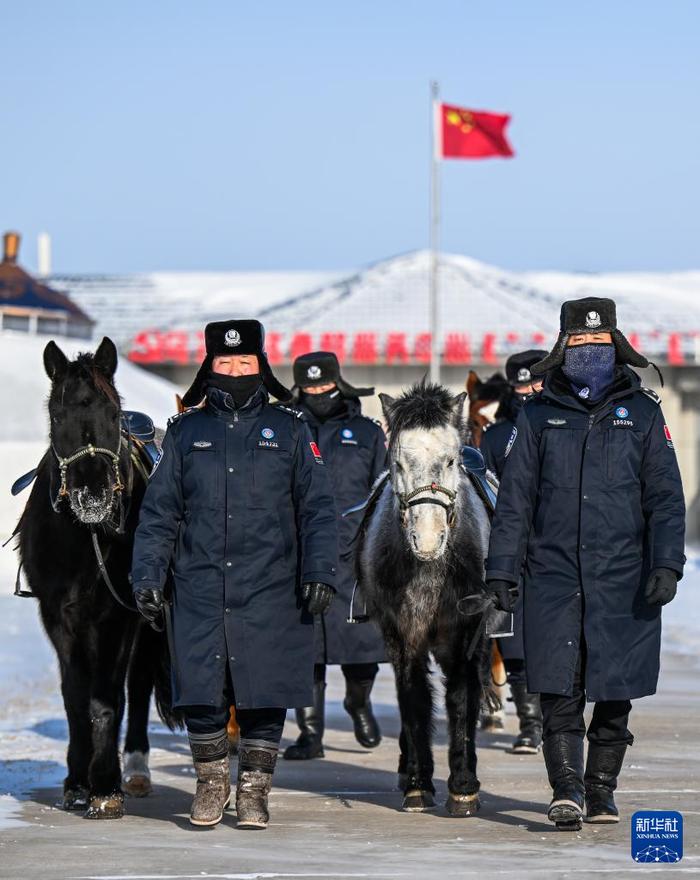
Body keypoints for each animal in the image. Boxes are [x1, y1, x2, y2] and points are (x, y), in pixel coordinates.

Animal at [15, 336, 178, 820]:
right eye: (57, 415)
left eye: (112, 413)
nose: (93, 494)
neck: (83, 538)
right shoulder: (57, 616)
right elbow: (74, 697)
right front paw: (76, 781)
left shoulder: (116, 617)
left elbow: (106, 699)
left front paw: (105, 786)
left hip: (147, 624)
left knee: (137, 687)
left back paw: (136, 770)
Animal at [358, 384, 494, 820]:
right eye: (398, 463)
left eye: (450, 459)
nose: (429, 539)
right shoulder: (403, 635)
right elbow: (414, 698)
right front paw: (419, 785)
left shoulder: (465, 633)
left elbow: (461, 698)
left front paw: (463, 788)